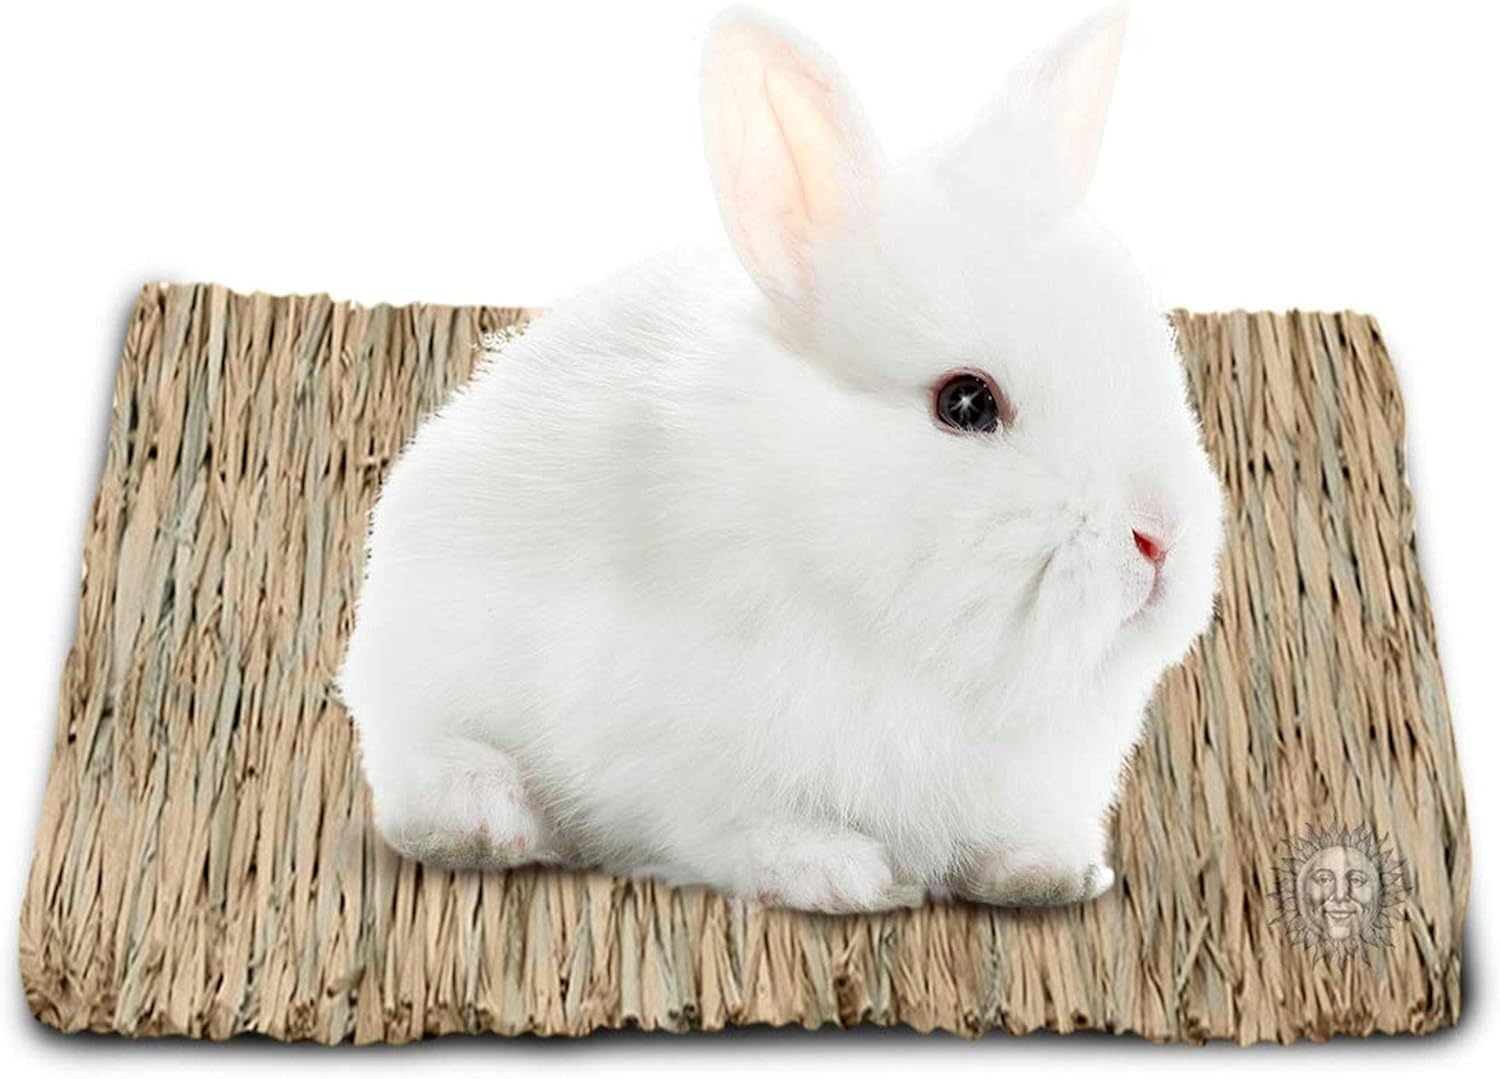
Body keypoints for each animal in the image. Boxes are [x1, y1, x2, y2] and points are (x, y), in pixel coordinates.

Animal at [337, 3, 1225, 913]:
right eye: (967, 403)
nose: (1159, 537)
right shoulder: (689, 760)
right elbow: (749, 829)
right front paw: (837, 874)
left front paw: (1048, 872)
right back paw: (484, 815)